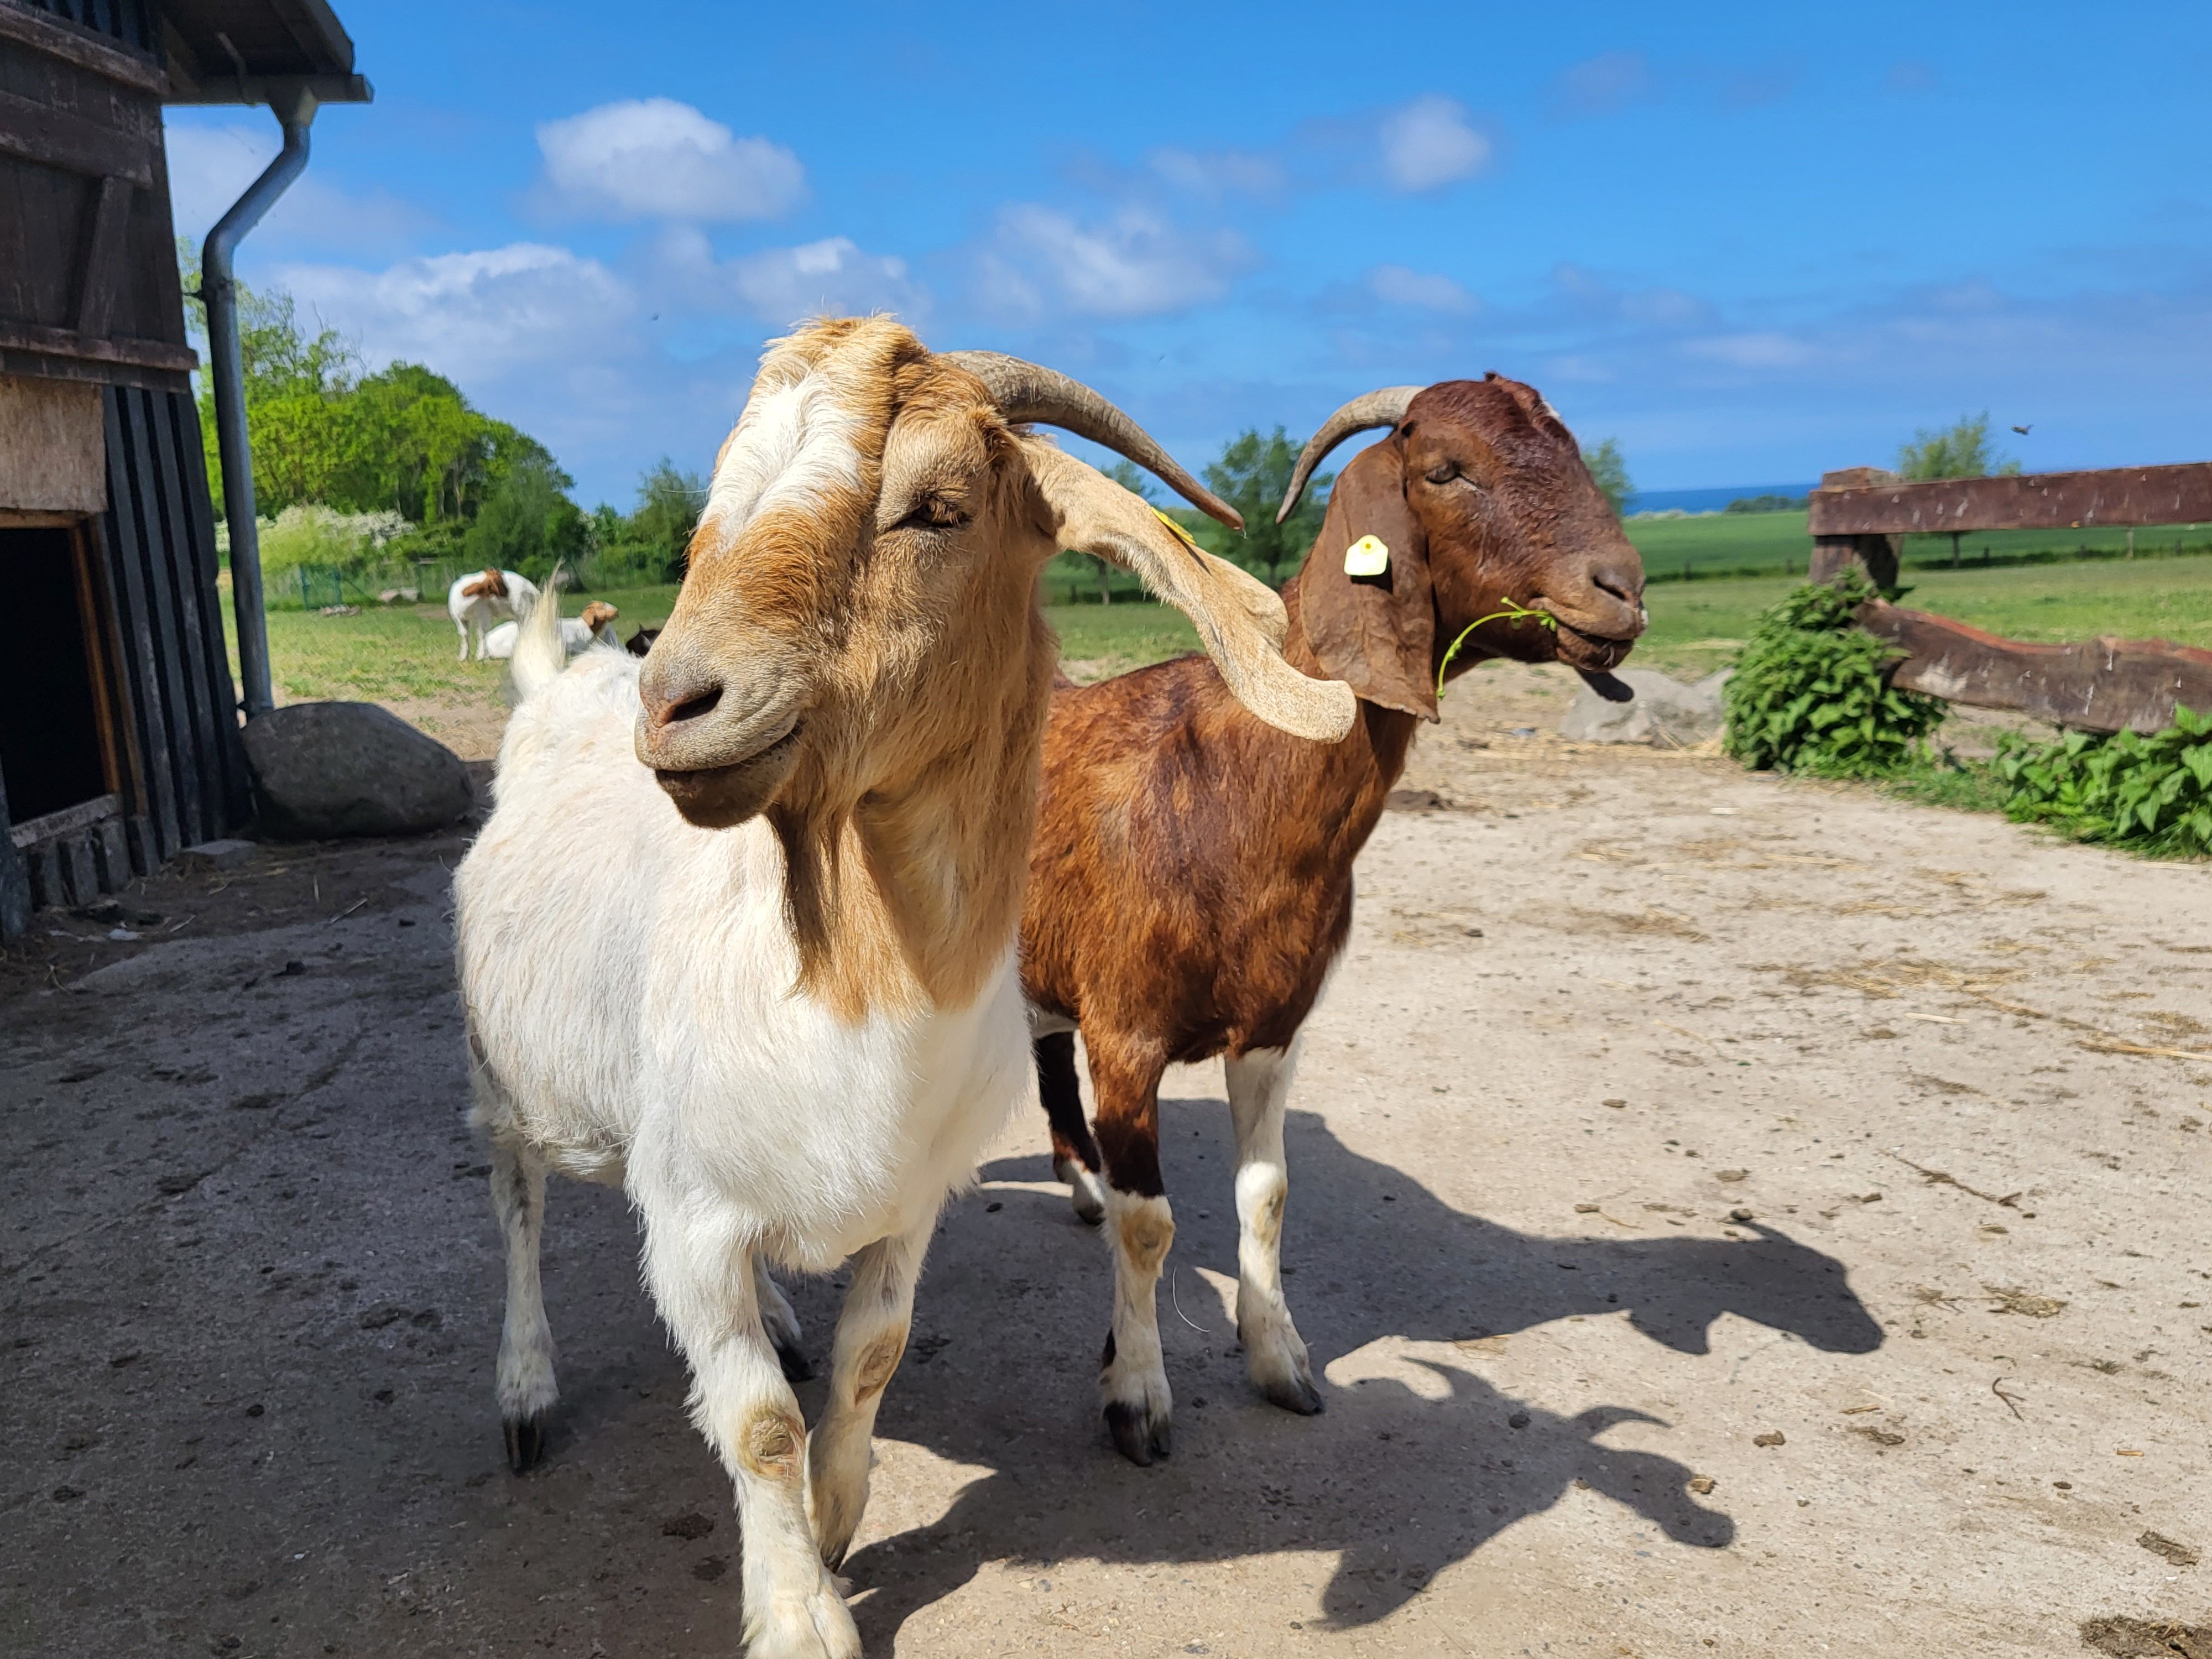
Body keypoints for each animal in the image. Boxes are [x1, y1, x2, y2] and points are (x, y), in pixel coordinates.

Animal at [448, 567, 541, 661]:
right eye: (499, 580)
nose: (508, 593)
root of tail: (528, 585)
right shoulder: (459, 619)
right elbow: (464, 634)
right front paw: (463, 657)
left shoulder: (483, 615)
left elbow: (481, 633)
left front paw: (480, 656)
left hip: (521, 608)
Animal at [1019, 374, 1647, 1463]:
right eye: (1445, 468)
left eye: (1569, 447)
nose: (1621, 590)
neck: (1235, 771)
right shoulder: (1127, 1031)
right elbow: (1153, 1225)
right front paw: (1135, 1395)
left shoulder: (1276, 1026)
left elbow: (1265, 1196)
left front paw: (1281, 1361)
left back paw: (1081, 1185)